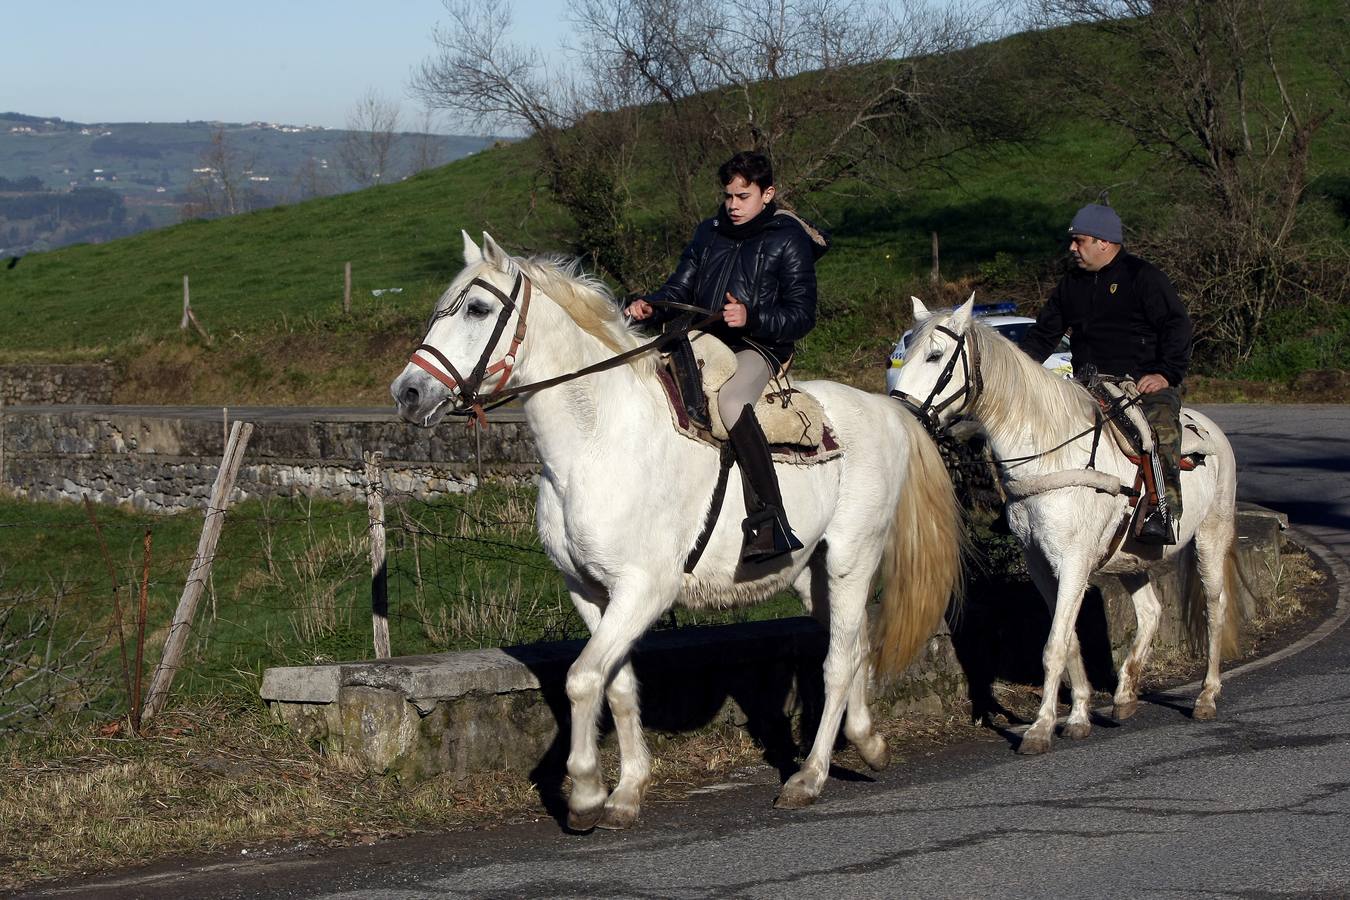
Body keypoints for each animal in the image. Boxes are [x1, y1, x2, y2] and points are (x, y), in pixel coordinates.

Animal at [386, 234, 966, 831]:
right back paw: (869, 742)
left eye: (478, 309)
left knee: (840, 660)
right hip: (813, 572)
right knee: (854, 645)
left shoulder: (643, 589)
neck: (594, 442)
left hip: (853, 558)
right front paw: (625, 792)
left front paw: (586, 793)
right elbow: (617, 685)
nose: (407, 392)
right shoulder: (590, 592)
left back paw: (809, 777)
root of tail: (888, 411)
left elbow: (582, 679)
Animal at [891, 299, 1236, 755]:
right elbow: (1069, 639)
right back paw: (1124, 696)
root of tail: (1209, 429)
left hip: (1212, 536)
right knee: (1151, 612)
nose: (902, 414)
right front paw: (1077, 716)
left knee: (1215, 608)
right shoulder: (1040, 563)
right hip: (1133, 557)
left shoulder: (1072, 562)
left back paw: (1206, 696)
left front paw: (1039, 729)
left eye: (934, 356)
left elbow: (1054, 645)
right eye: (905, 353)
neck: (1048, 453)